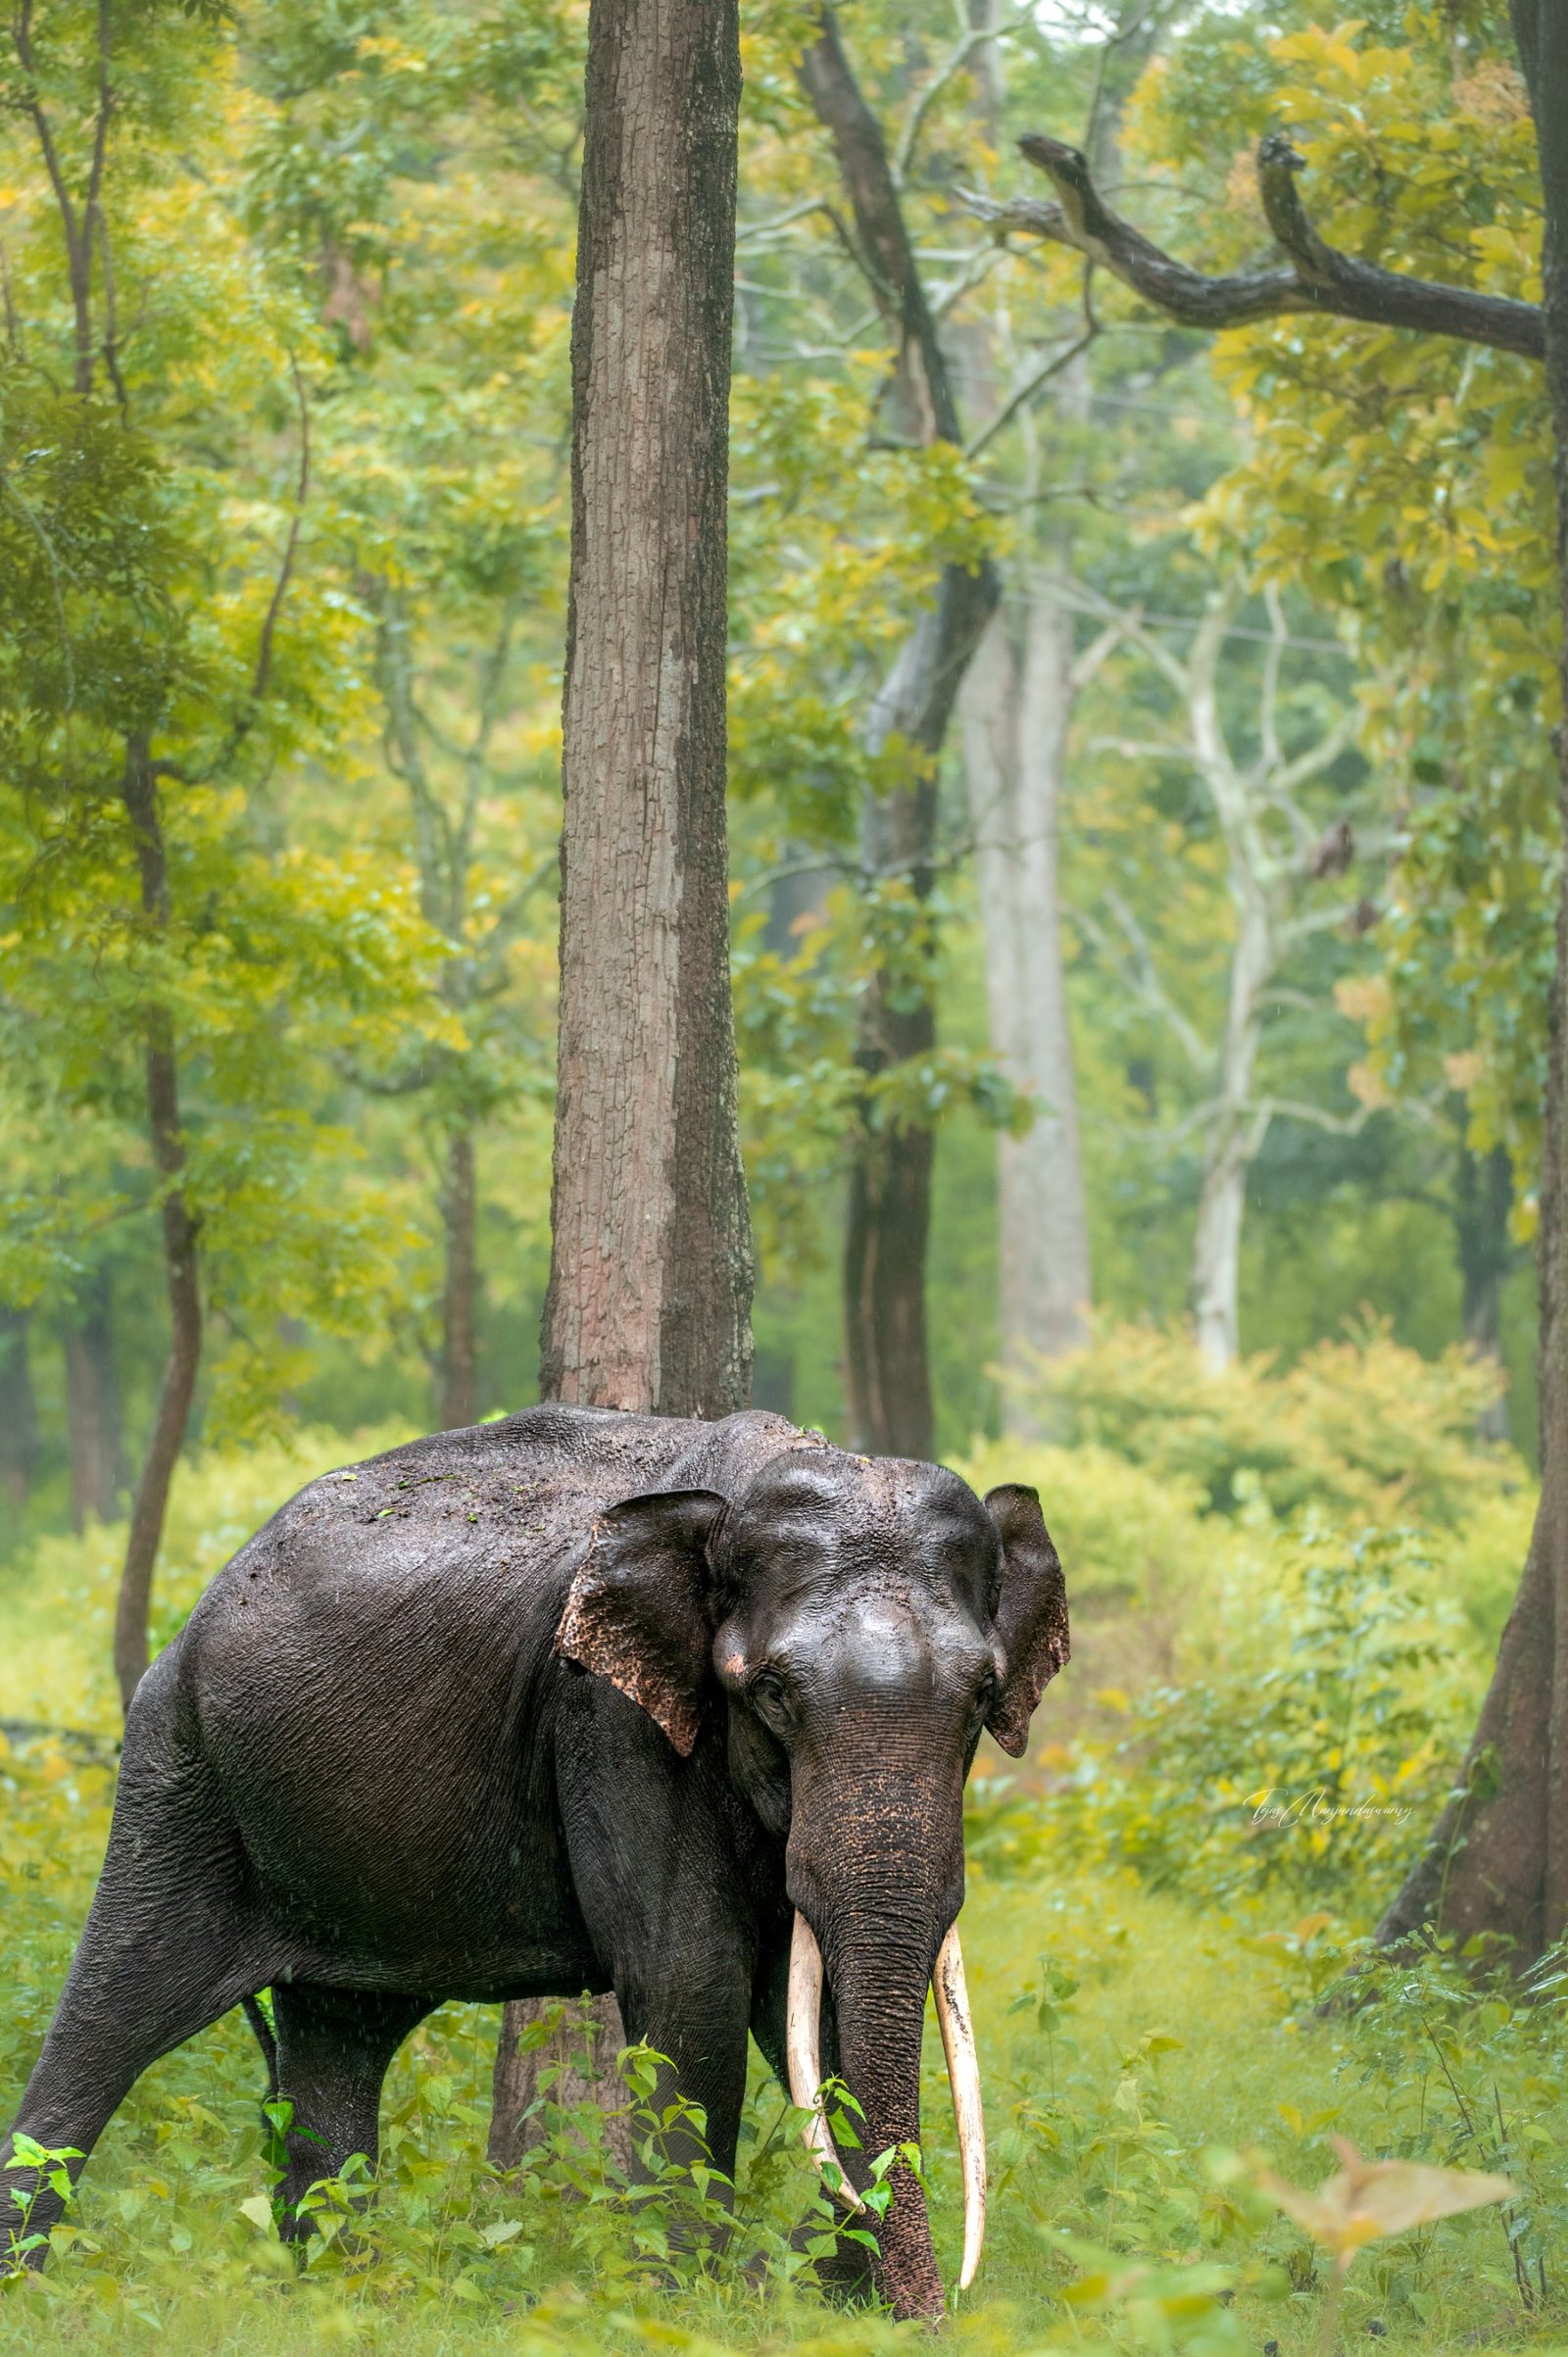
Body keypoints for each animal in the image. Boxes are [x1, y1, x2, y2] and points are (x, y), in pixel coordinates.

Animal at [0, 1404, 1068, 2319]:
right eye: (770, 1692)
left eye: (984, 1696)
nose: (937, 2315)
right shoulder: (609, 1717)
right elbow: (694, 1984)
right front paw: (689, 2302)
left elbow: (819, 2008)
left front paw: (840, 2301)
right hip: (176, 1769)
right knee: (112, 2013)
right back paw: (34, 2284)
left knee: (338, 2038)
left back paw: (346, 2291)